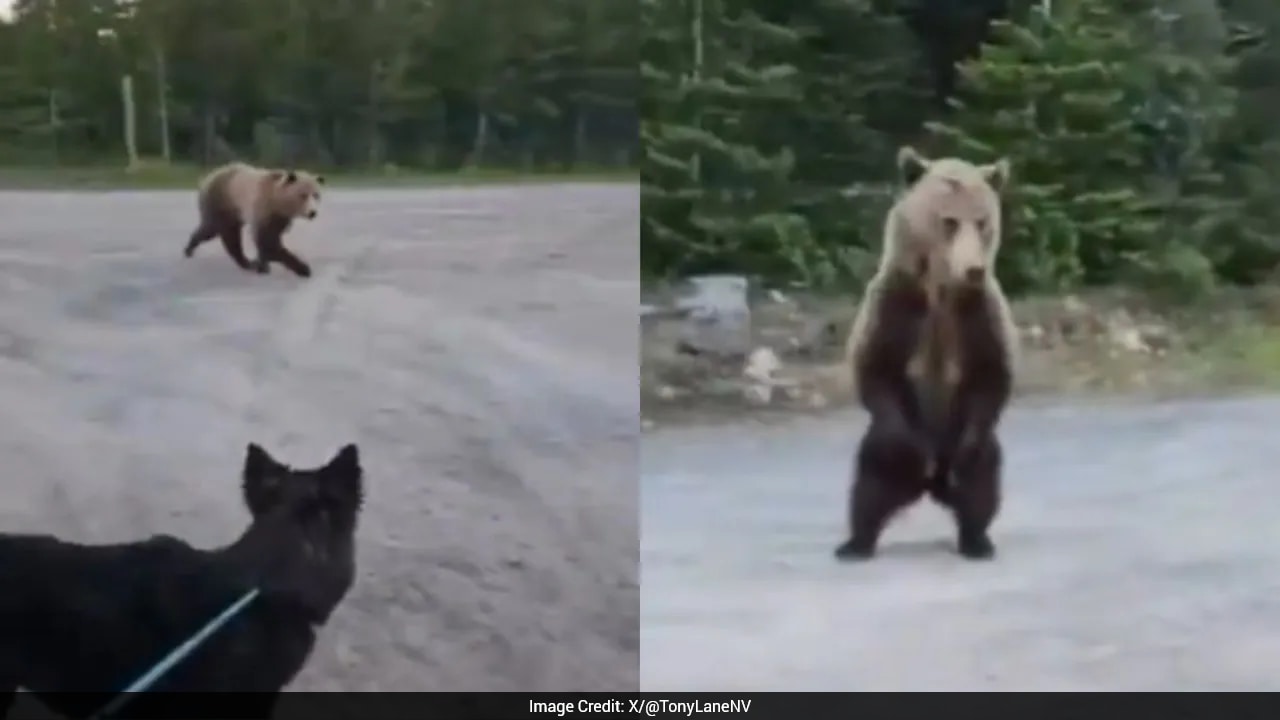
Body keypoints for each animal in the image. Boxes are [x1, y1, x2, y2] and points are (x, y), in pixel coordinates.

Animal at [183, 162, 325, 278]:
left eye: (316, 195)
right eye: (303, 195)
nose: (313, 213)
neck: (278, 203)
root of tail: (209, 177)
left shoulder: (280, 219)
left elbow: (269, 240)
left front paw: (262, 265)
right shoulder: (263, 210)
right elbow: (268, 243)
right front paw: (304, 268)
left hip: (232, 212)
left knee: (229, 236)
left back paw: (247, 262)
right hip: (221, 203)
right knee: (212, 230)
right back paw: (189, 249)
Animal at [833, 146, 1018, 561]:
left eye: (982, 222)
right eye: (949, 221)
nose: (974, 269)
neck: (941, 289)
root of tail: (932, 487)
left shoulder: (978, 314)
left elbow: (991, 373)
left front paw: (967, 454)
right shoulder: (897, 303)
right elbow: (876, 367)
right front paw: (911, 450)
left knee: (982, 485)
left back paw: (976, 540)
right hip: (880, 452)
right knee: (869, 486)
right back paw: (855, 543)